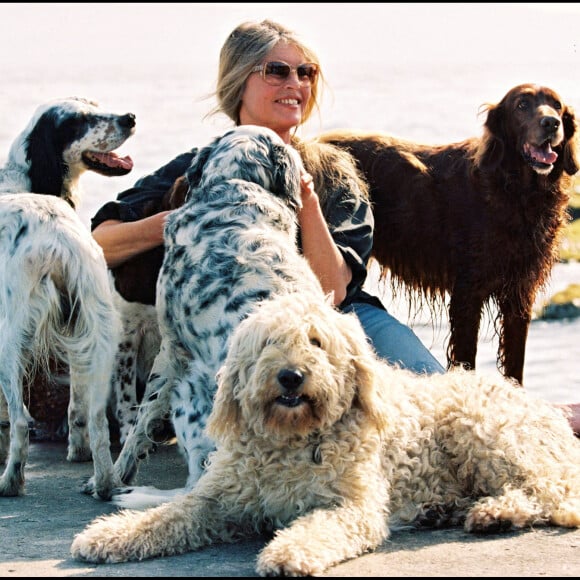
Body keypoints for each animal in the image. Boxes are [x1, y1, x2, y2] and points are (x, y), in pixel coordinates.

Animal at [0, 96, 135, 498]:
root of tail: (55, 236)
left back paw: (10, 481)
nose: (129, 117)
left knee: (21, 422)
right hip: (102, 332)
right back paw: (103, 481)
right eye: (78, 121)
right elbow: (78, 407)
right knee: (97, 419)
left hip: (10, 340)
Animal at [72, 294, 580, 576]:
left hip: (483, 431)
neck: (293, 442)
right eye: (270, 343)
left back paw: (499, 513)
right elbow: (167, 516)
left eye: (316, 341)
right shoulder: (217, 500)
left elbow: (318, 527)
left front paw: (289, 552)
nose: (291, 376)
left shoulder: (350, 507)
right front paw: (110, 535)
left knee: (550, 492)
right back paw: (446, 510)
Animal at [110, 123, 326, 508]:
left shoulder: (171, 348)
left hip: (190, 390)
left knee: (194, 484)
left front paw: (114, 474)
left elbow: (141, 419)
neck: (235, 188)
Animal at [320, 82, 576, 386]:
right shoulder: (468, 293)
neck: (516, 191)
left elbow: (515, 364)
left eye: (557, 105)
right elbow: (466, 360)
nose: (551, 123)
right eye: (522, 105)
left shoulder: (519, 294)